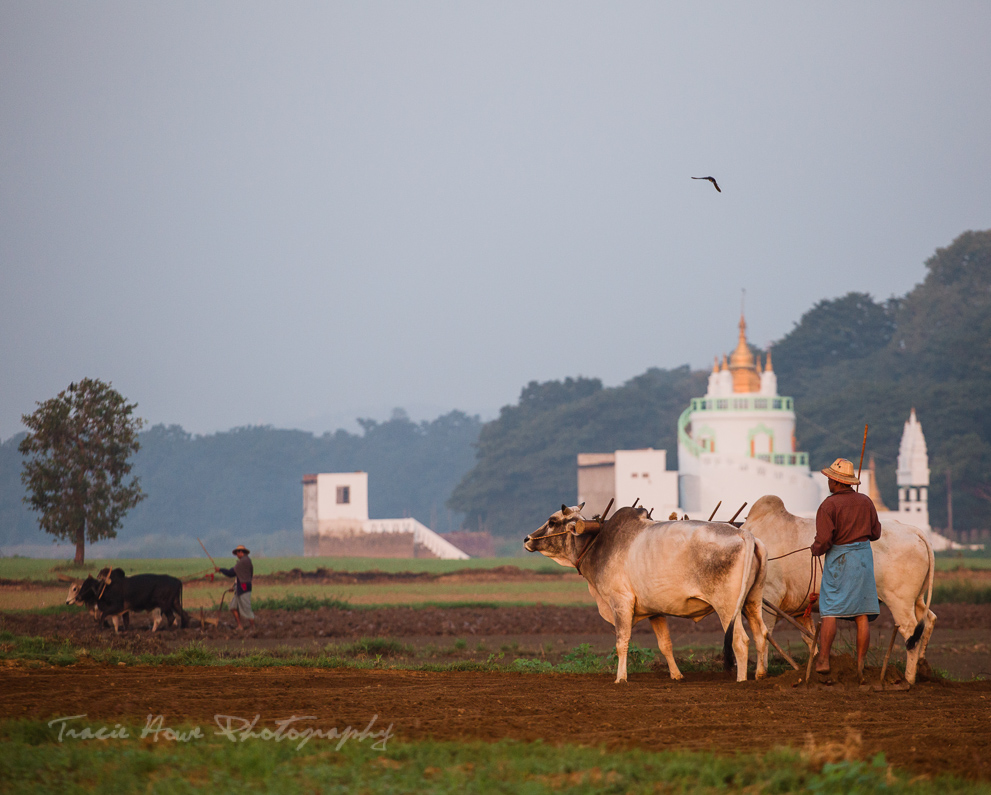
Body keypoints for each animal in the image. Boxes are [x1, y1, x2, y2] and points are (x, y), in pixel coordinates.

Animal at [524, 506, 772, 680]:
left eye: (552, 521)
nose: (527, 539)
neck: (598, 543)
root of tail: (744, 534)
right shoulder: (655, 611)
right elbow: (665, 644)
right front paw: (676, 675)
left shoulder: (620, 603)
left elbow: (621, 642)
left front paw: (620, 678)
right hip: (752, 602)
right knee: (762, 634)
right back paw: (760, 675)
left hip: (727, 608)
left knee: (740, 641)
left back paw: (741, 680)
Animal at [744, 492, 936, 684]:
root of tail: (913, 531)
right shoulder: (800, 610)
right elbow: (810, 637)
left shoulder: (769, 596)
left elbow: (765, 633)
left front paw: (761, 673)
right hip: (917, 599)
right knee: (928, 620)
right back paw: (922, 666)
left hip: (899, 601)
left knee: (910, 631)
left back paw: (909, 679)